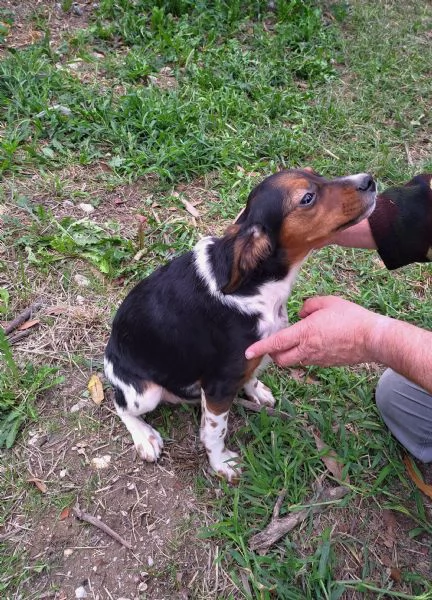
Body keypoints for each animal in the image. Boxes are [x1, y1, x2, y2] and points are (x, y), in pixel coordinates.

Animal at [104, 169, 374, 482]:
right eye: (307, 198)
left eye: (316, 174)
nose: (369, 180)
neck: (259, 284)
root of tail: (109, 351)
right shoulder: (219, 385)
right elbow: (215, 432)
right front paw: (221, 463)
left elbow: (252, 374)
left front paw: (256, 392)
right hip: (145, 393)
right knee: (120, 405)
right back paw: (144, 436)